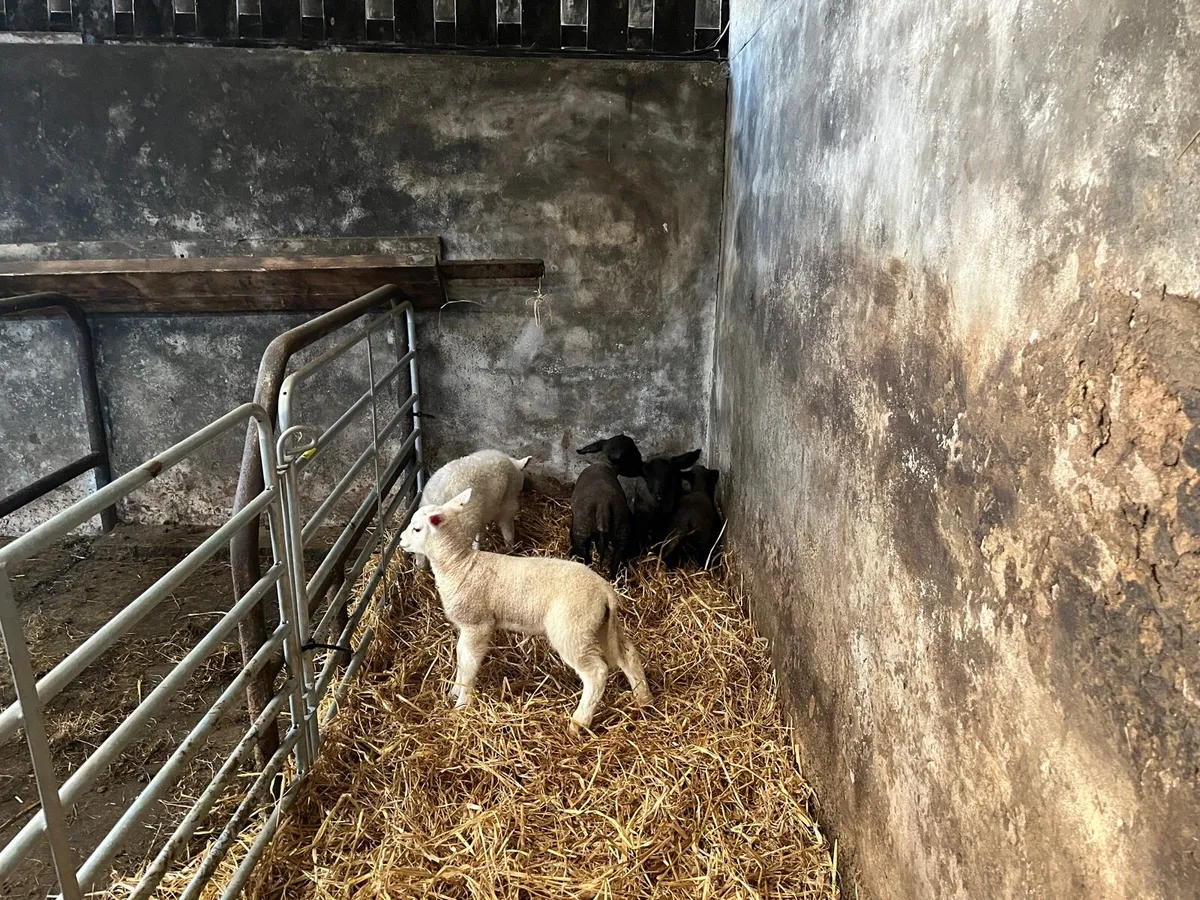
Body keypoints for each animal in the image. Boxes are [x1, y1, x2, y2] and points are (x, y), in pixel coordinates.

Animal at [399, 488, 654, 734]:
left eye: (417, 528)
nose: (400, 539)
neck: (458, 564)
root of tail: (605, 591)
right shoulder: (466, 626)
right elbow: (460, 656)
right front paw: (454, 691)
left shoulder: (477, 624)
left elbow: (469, 662)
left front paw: (462, 704)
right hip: (599, 626)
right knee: (628, 654)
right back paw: (643, 699)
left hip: (571, 629)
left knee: (597, 672)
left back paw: (578, 723)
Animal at [571, 435, 644, 579]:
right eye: (632, 452)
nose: (642, 465)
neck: (604, 463)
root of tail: (602, 507)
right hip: (622, 535)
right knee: (616, 564)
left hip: (581, 532)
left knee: (585, 558)